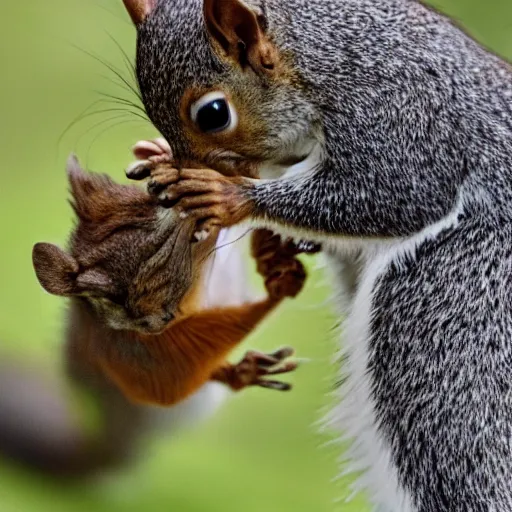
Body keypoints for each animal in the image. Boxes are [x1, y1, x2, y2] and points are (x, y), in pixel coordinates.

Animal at [0, 155, 304, 476]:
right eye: (106, 300)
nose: (155, 321)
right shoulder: (125, 351)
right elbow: (167, 378)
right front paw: (279, 286)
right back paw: (245, 370)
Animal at [122, 0, 512, 508]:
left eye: (213, 114)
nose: (189, 167)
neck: (312, 57)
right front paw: (158, 155)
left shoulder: (400, 115)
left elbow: (393, 193)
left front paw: (229, 196)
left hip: (451, 315)